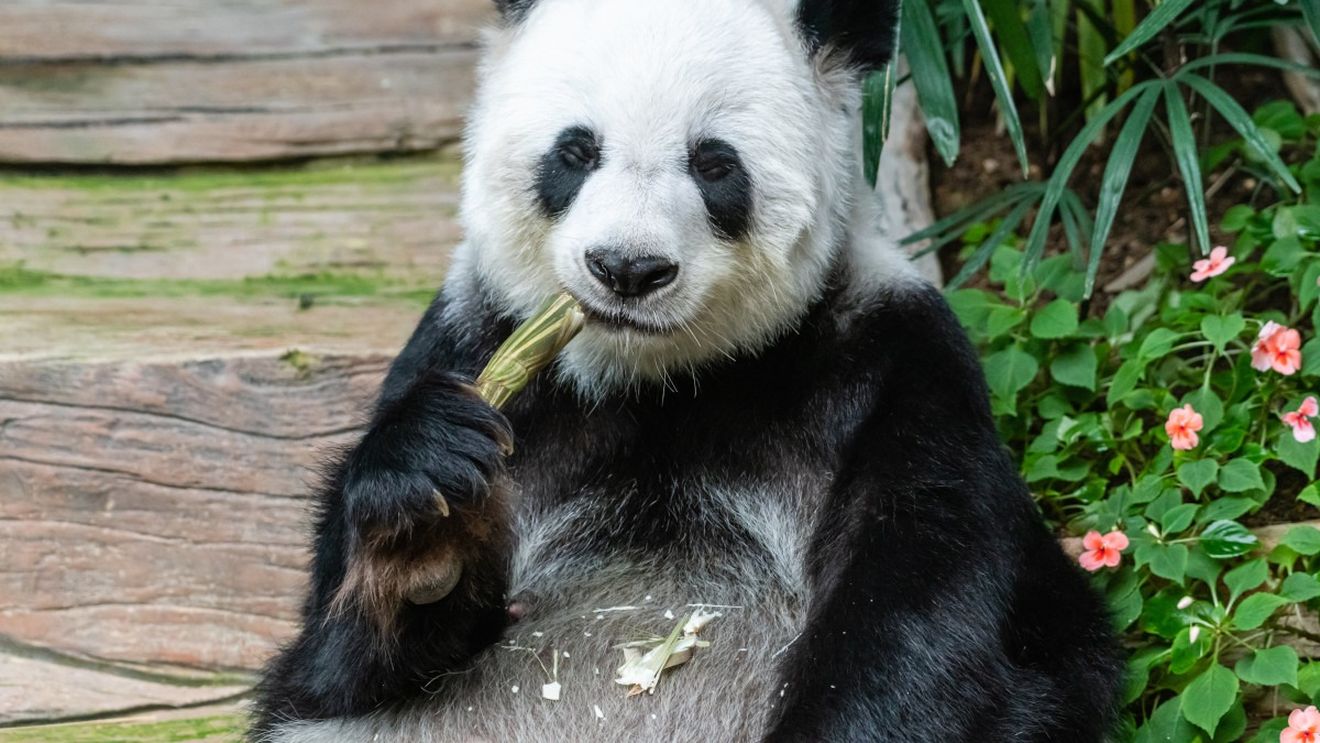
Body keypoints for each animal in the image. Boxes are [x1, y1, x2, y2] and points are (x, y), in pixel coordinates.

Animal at [251, 0, 1124, 740]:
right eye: (576, 151)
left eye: (713, 164)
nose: (627, 268)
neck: (659, 377)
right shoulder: (473, 338)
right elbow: (337, 663)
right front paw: (426, 528)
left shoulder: (894, 362)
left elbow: (923, 611)